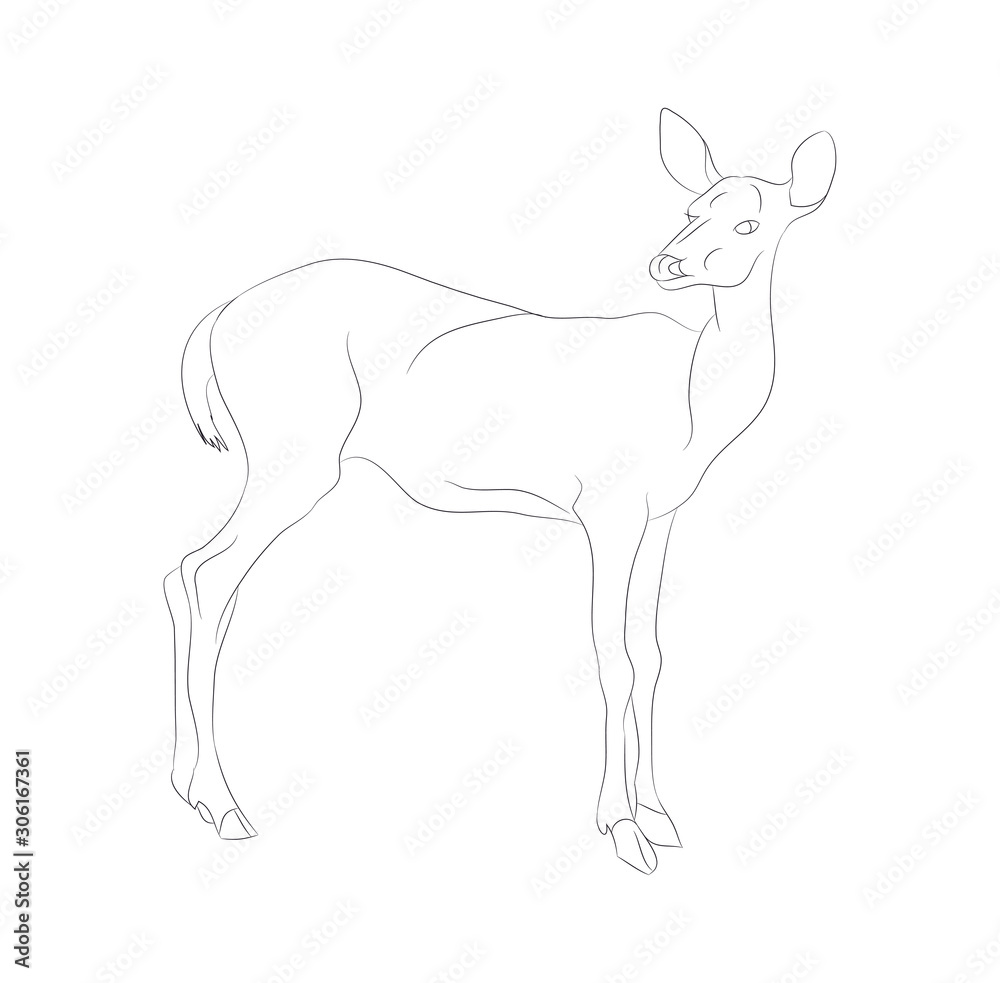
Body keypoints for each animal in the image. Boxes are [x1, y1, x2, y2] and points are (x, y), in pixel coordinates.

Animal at [164, 108, 836, 874]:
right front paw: (621, 829)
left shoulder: (661, 514)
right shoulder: (604, 504)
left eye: (750, 222)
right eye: (692, 210)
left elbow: (651, 653)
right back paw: (225, 805)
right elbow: (612, 657)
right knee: (208, 575)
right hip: (295, 459)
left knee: (191, 576)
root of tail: (214, 320)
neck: (693, 398)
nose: (668, 263)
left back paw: (188, 788)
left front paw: (661, 816)